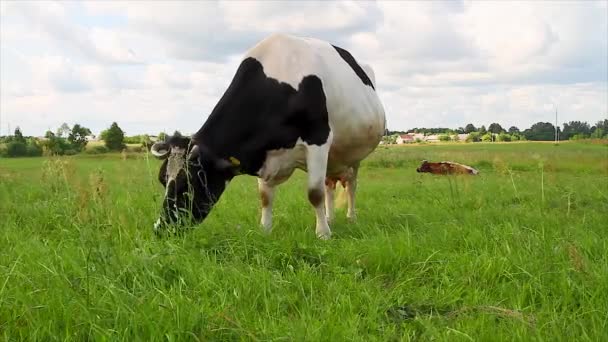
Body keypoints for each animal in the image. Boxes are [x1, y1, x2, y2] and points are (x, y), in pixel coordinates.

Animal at [148, 33, 384, 239]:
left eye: (185, 186)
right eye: (162, 180)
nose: (160, 230)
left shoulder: (318, 139)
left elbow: (314, 192)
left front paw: (323, 234)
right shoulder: (265, 155)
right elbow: (265, 197)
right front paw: (265, 231)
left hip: (355, 157)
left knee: (351, 185)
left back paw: (350, 218)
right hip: (334, 156)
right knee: (329, 185)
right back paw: (330, 218)